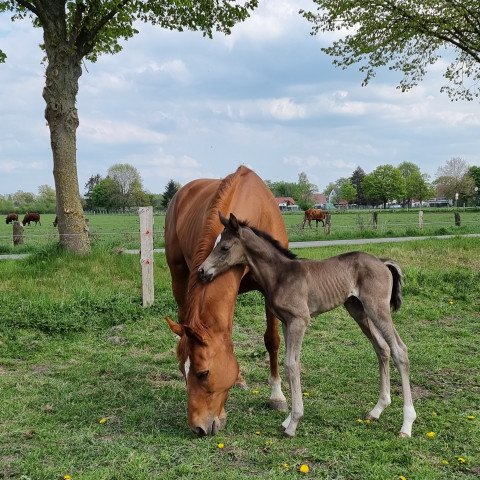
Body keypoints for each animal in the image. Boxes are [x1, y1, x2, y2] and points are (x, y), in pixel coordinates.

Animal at [164, 166, 288, 438]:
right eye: (185, 371)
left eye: (203, 373)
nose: (198, 428)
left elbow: (272, 340)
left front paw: (277, 395)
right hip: (178, 275)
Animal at [199, 214, 416, 438]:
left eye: (224, 247)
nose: (202, 271)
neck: (281, 275)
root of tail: (382, 262)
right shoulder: (286, 323)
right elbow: (291, 364)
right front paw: (288, 420)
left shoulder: (299, 321)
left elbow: (291, 365)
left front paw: (293, 423)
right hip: (358, 310)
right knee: (382, 348)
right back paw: (377, 410)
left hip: (377, 309)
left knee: (399, 350)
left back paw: (407, 424)